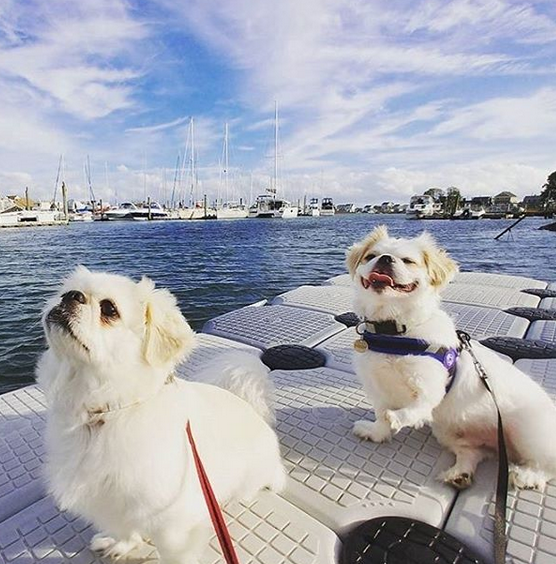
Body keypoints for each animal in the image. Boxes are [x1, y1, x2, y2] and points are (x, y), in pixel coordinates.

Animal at [37, 268, 284, 564]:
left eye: (109, 309)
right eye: (65, 292)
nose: (70, 297)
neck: (101, 413)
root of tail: (255, 412)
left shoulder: (173, 525)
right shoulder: (111, 501)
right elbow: (124, 530)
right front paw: (119, 545)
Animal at [348, 225, 556, 490]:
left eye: (408, 261)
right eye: (371, 256)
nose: (385, 259)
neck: (394, 331)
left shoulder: (429, 384)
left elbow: (417, 406)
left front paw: (398, 417)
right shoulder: (378, 387)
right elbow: (380, 415)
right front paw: (376, 432)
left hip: (528, 433)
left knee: (546, 464)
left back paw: (527, 476)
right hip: (448, 431)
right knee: (471, 452)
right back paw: (459, 474)